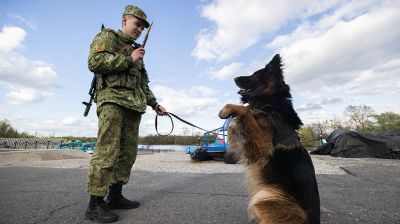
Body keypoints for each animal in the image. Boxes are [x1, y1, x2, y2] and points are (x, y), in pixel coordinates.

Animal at [217, 54, 320, 224]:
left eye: (256, 75)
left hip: (266, 198)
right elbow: (234, 125)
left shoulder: (263, 145)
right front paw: (231, 143)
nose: (235, 78)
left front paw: (227, 109)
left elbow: (245, 110)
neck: (271, 102)